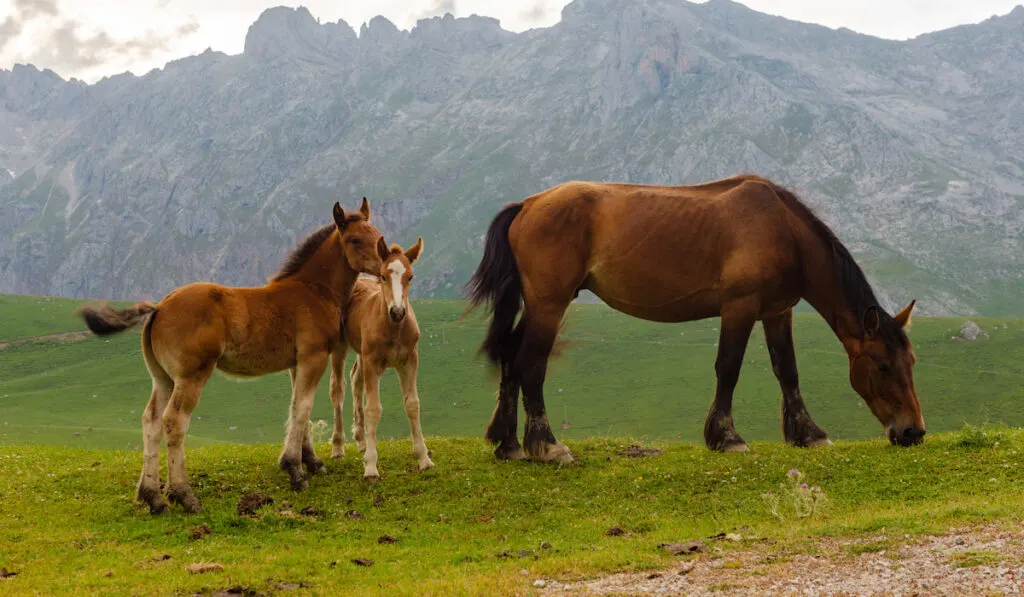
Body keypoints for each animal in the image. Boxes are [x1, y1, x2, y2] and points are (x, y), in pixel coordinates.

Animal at [78, 199, 385, 514]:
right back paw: (184, 495)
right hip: (191, 376)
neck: (313, 291)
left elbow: (297, 407)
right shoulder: (314, 358)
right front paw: (296, 471)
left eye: (377, 234)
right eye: (355, 239)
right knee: (174, 422)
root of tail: (159, 307)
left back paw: (152, 496)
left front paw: (310, 461)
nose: (385, 265)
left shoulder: (297, 364)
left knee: (151, 422)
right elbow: (302, 408)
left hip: (162, 379)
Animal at [329, 237, 434, 481]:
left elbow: (412, 404)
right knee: (338, 387)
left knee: (355, 380)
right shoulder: (372, 362)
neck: (394, 329)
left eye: (410, 276)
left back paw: (360, 441)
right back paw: (338, 447)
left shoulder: (410, 361)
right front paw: (370, 467)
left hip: (361, 352)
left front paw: (423, 458)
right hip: (341, 347)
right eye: (383, 276)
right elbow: (373, 409)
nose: (398, 312)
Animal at [466, 173, 929, 462]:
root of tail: (527, 205)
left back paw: (508, 444)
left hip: (537, 305)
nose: (914, 432)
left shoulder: (778, 312)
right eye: (882, 365)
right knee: (530, 363)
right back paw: (547, 446)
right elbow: (729, 368)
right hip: (550, 303)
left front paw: (809, 434)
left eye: (911, 362)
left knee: (510, 355)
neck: (783, 231)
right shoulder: (739, 307)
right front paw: (727, 438)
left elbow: (787, 372)